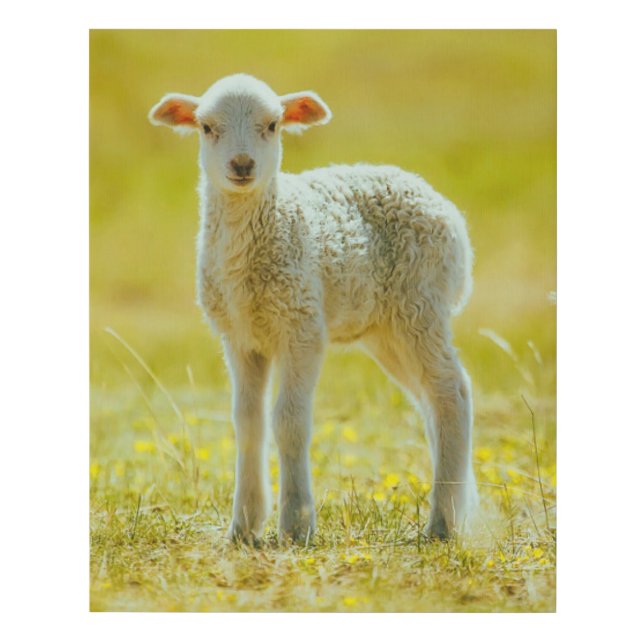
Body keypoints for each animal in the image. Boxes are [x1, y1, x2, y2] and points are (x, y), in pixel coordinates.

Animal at [149, 73, 478, 544]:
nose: (243, 165)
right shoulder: (240, 336)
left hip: (421, 303)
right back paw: (455, 507)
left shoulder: (302, 326)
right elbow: (247, 423)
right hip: (387, 328)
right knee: (430, 399)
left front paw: (296, 524)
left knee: (452, 392)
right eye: (206, 128)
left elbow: (288, 421)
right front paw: (244, 525)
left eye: (273, 125)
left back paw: (442, 525)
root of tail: (446, 209)